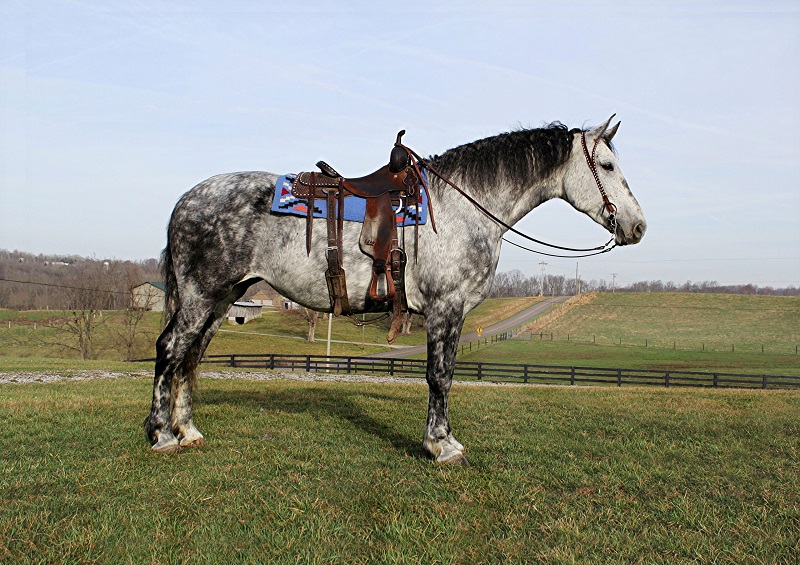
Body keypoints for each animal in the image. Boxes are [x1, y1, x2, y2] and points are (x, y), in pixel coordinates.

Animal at [145, 116, 647, 464]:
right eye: (606, 165)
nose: (637, 226)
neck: (462, 206)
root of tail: (187, 200)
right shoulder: (446, 309)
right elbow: (440, 377)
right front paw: (441, 445)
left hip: (223, 297)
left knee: (191, 355)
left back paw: (188, 431)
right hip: (199, 296)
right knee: (170, 349)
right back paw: (162, 434)